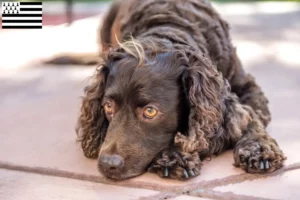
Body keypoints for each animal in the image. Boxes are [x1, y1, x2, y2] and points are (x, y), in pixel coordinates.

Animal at [48, 0, 288, 181]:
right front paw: (175, 156)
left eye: (150, 111)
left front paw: (259, 149)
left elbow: (251, 118)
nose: (108, 164)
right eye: (108, 106)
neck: (169, 27)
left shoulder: (248, 88)